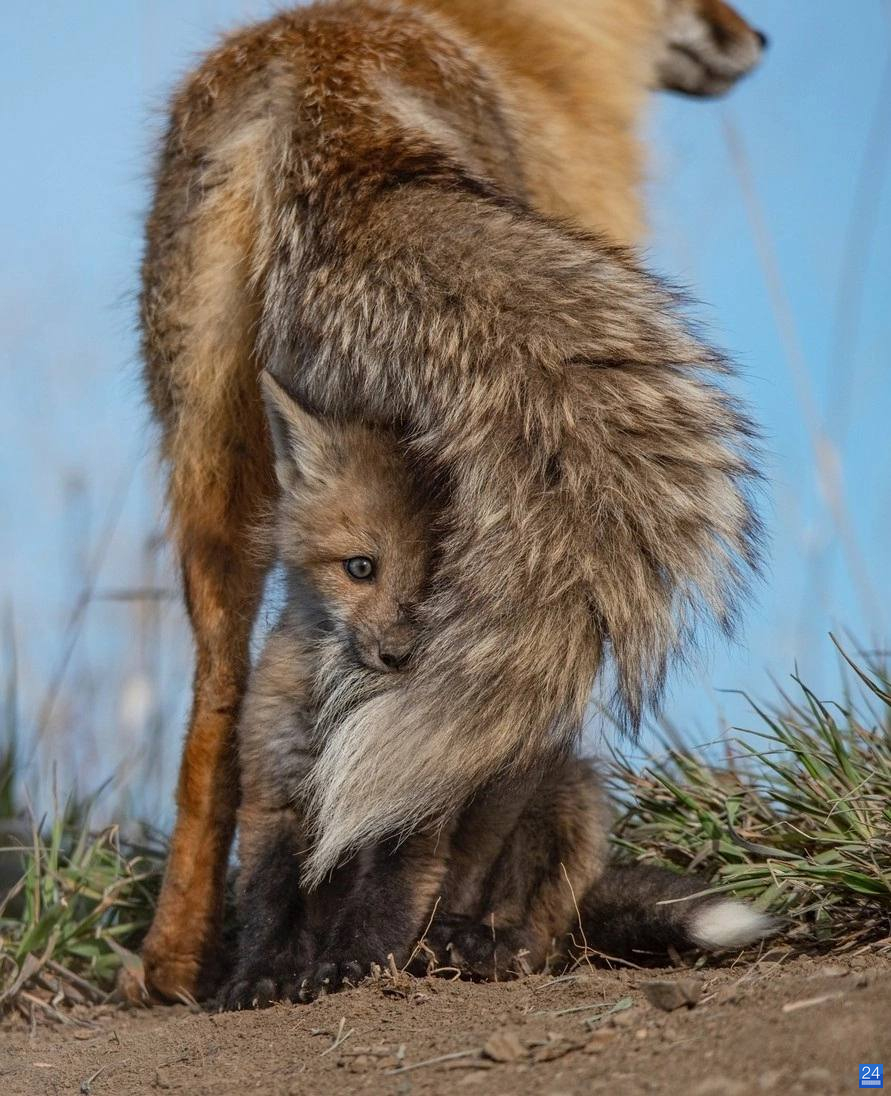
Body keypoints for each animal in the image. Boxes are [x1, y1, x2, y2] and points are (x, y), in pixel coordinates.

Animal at [139, 0, 762, 999]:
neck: (522, 42)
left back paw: (177, 966)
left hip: (205, 465)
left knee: (217, 721)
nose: (756, 41)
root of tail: (319, 73)